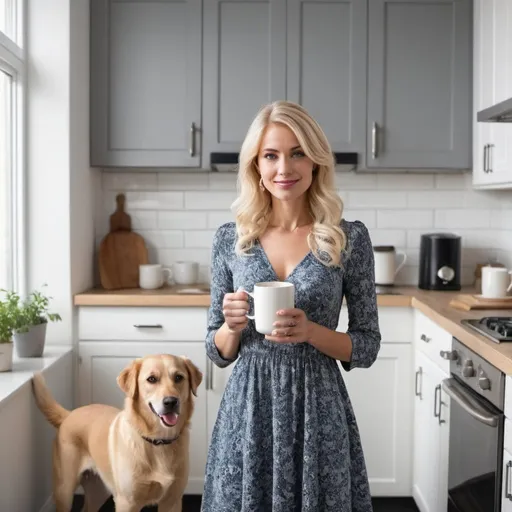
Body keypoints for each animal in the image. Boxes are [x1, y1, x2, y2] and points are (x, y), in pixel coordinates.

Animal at [31, 354, 203, 510]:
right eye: (152, 379)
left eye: (179, 377)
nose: (171, 402)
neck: (158, 441)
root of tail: (70, 414)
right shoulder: (127, 503)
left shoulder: (172, 501)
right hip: (64, 490)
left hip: (98, 492)